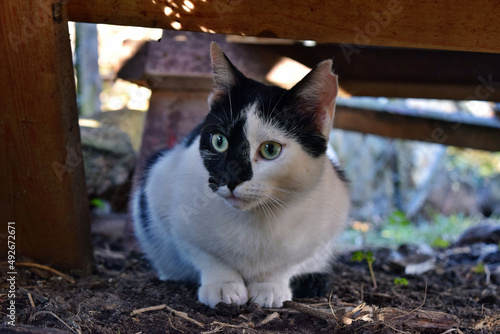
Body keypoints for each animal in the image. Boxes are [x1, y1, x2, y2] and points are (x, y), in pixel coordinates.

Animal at [134, 43, 352, 310]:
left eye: (270, 149)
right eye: (219, 141)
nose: (230, 179)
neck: (255, 221)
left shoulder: (330, 217)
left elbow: (288, 263)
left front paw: (270, 285)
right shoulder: (164, 194)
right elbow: (204, 253)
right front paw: (224, 285)